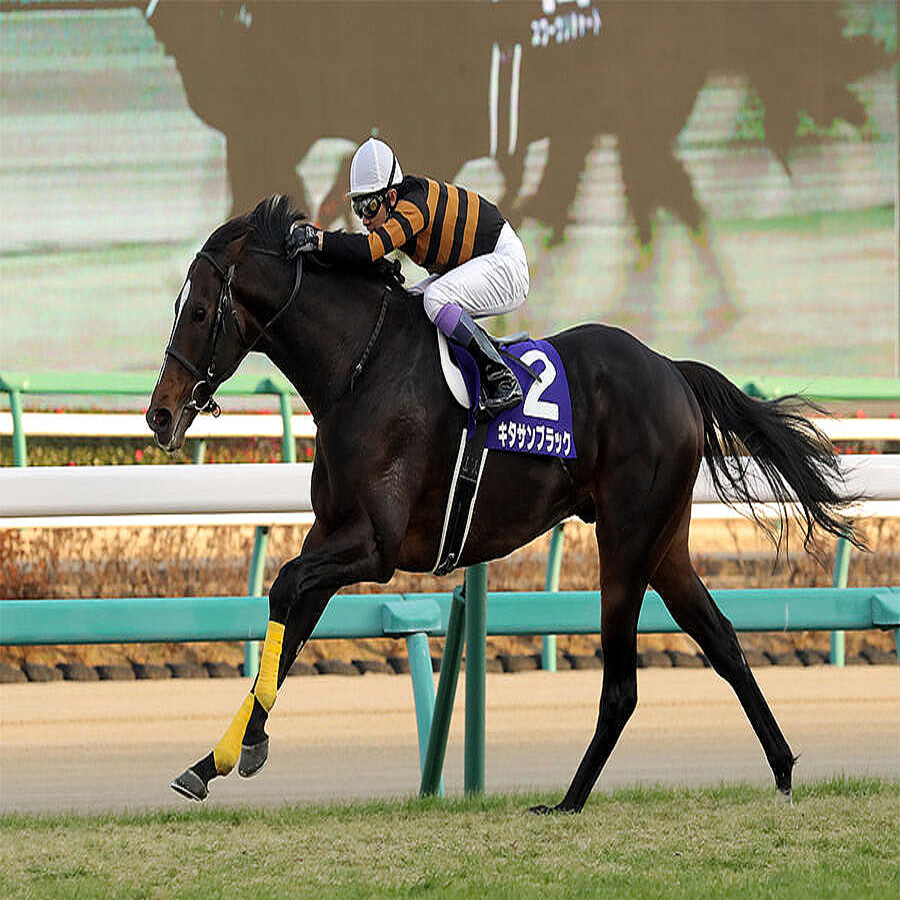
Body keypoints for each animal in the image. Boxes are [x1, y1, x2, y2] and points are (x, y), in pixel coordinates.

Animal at [146, 195, 861, 812]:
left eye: (200, 313)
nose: (159, 413)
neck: (361, 369)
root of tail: (671, 369)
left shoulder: (372, 547)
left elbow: (285, 590)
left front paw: (243, 749)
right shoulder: (332, 534)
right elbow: (290, 623)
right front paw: (216, 759)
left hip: (627, 543)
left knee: (623, 687)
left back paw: (569, 801)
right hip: (666, 546)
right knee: (723, 642)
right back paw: (783, 771)